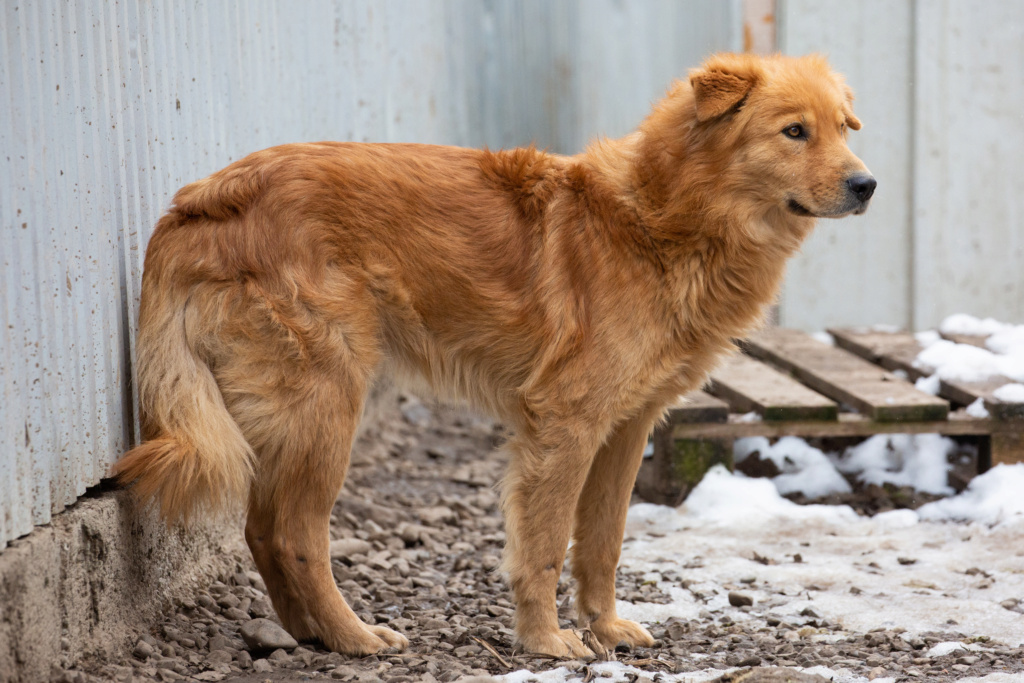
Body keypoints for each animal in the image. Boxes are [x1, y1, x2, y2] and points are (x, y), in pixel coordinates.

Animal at [117, 53, 872, 655]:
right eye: (795, 131)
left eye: (843, 127)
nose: (867, 185)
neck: (662, 216)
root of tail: (203, 200)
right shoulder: (565, 424)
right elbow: (545, 546)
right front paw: (547, 641)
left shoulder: (627, 427)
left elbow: (603, 542)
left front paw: (605, 627)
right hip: (328, 400)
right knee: (292, 534)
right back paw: (352, 637)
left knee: (261, 529)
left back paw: (309, 633)